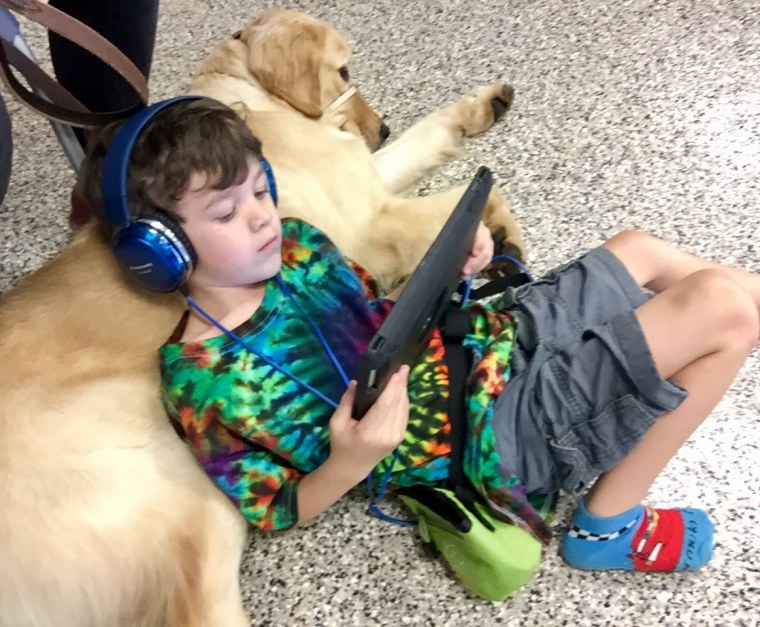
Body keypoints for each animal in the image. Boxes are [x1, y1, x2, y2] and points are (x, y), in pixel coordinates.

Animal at [0, 9, 524, 627]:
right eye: (342, 70)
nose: (382, 128)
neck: (255, 99)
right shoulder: (373, 222)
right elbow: (479, 204)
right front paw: (504, 243)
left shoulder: (368, 186)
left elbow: (427, 141)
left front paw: (481, 107)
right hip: (189, 502)